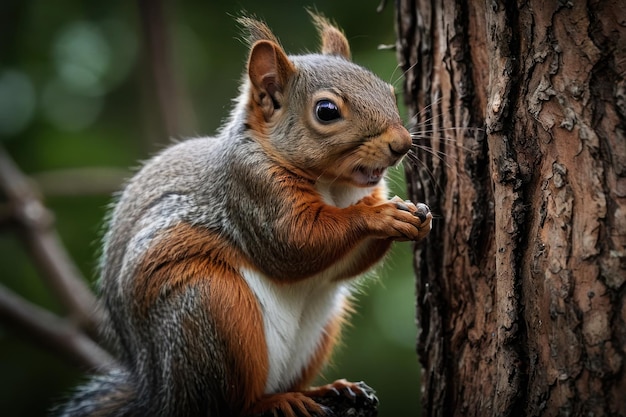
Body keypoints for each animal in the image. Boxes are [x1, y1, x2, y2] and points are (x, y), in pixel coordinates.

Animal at [54, 12, 428, 416]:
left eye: (390, 93)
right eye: (327, 111)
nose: (402, 144)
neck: (336, 186)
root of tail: (160, 396)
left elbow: (343, 265)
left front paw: (415, 217)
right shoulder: (251, 192)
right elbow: (296, 243)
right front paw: (381, 216)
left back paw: (329, 390)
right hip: (209, 311)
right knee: (232, 401)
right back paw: (278, 401)